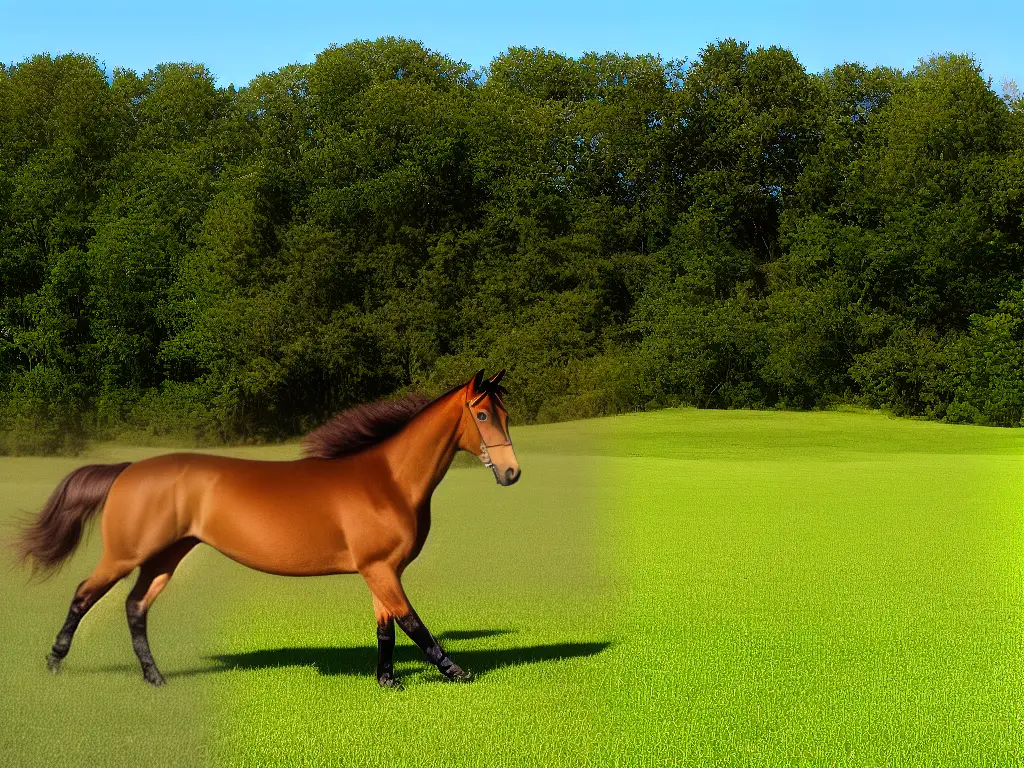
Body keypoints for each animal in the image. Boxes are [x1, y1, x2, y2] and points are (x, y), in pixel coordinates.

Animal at [12, 370, 516, 688]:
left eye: (506, 415)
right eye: (483, 415)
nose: (512, 473)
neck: (387, 480)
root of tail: (128, 470)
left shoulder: (381, 570)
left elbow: (386, 628)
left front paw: (387, 680)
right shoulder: (380, 569)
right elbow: (412, 623)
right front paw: (456, 672)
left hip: (165, 556)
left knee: (135, 607)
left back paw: (155, 678)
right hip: (126, 554)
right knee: (83, 594)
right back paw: (54, 662)